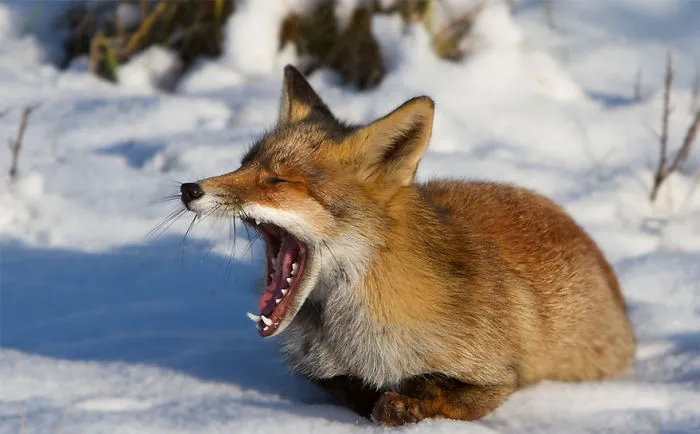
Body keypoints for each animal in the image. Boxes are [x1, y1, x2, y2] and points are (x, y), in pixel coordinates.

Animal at [179, 65, 636, 426]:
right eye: (243, 164)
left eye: (276, 180)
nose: (188, 189)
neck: (354, 335)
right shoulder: (319, 372)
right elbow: (350, 389)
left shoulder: (499, 376)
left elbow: (436, 391)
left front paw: (403, 404)